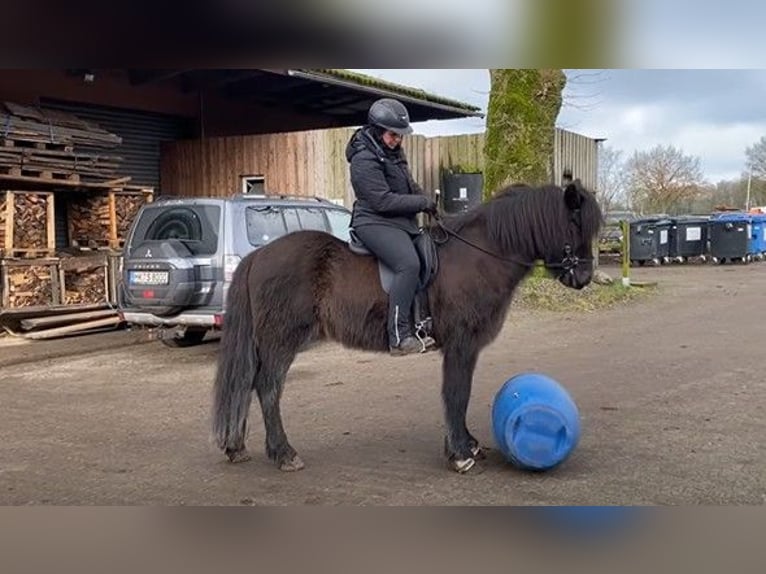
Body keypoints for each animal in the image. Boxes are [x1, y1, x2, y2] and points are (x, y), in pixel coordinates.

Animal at [213, 182, 604, 474]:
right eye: (574, 224)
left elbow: (460, 393)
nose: (584, 277)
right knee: (268, 388)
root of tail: (259, 255)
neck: (477, 256)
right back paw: (284, 454)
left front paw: (467, 445)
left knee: (247, 383)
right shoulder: (461, 343)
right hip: (282, 339)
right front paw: (460, 454)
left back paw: (236, 447)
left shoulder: (465, 347)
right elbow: (456, 393)